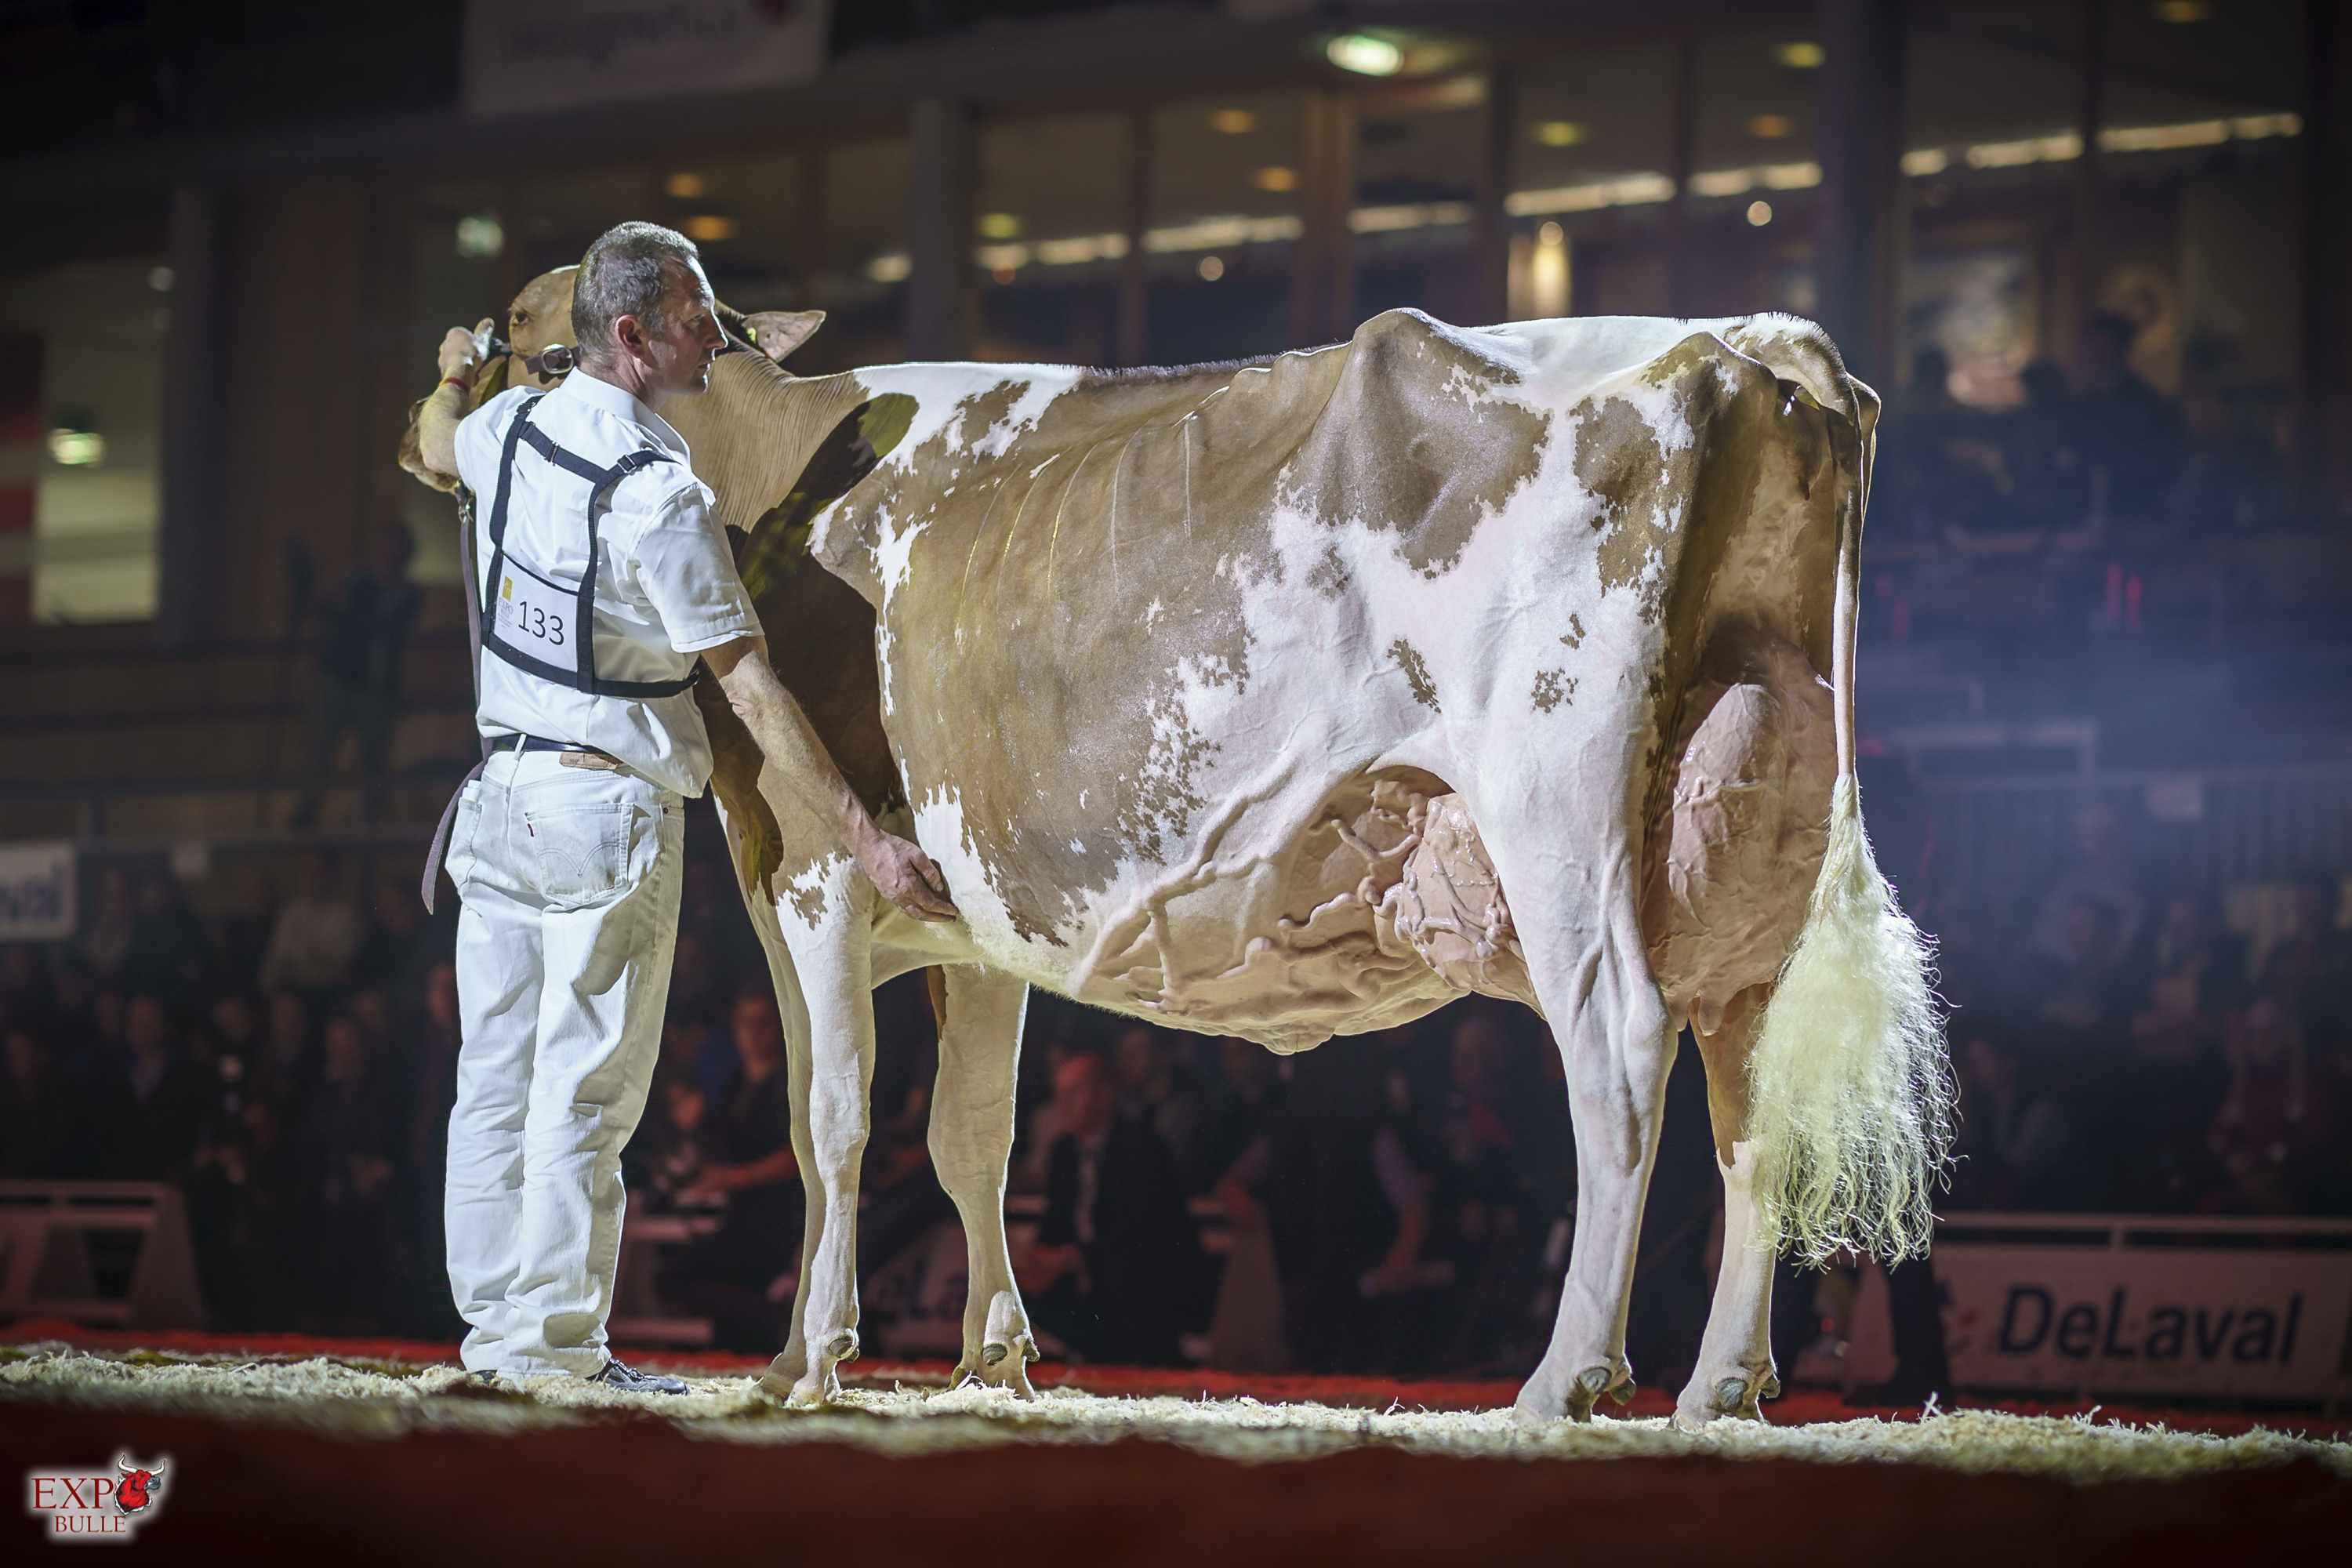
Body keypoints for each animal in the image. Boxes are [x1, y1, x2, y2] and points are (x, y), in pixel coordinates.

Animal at [406, 272, 1950, 1428]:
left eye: (521, 340)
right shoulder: (976, 921)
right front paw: (991, 1354)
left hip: (1555, 808)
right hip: (1748, 844)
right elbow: (970, 1132)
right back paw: (1722, 1386)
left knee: (1619, 1059)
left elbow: (828, 1119)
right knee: (1748, 1095)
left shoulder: (804, 868)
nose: (426, 411)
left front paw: (805, 1359)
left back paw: (1564, 1379)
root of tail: (1746, 343)